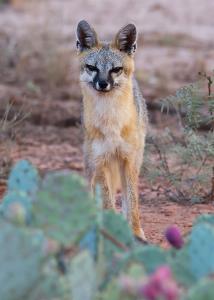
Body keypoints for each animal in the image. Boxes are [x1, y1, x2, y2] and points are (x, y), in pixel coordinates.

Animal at [76, 20, 148, 241]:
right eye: (92, 67)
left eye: (116, 69)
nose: (103, 83)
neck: (112, 123)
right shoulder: (100, 161)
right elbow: (107, 201)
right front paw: (112, 230)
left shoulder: (129, 160)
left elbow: (132, 202)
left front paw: (136, 233)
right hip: (91, 163)